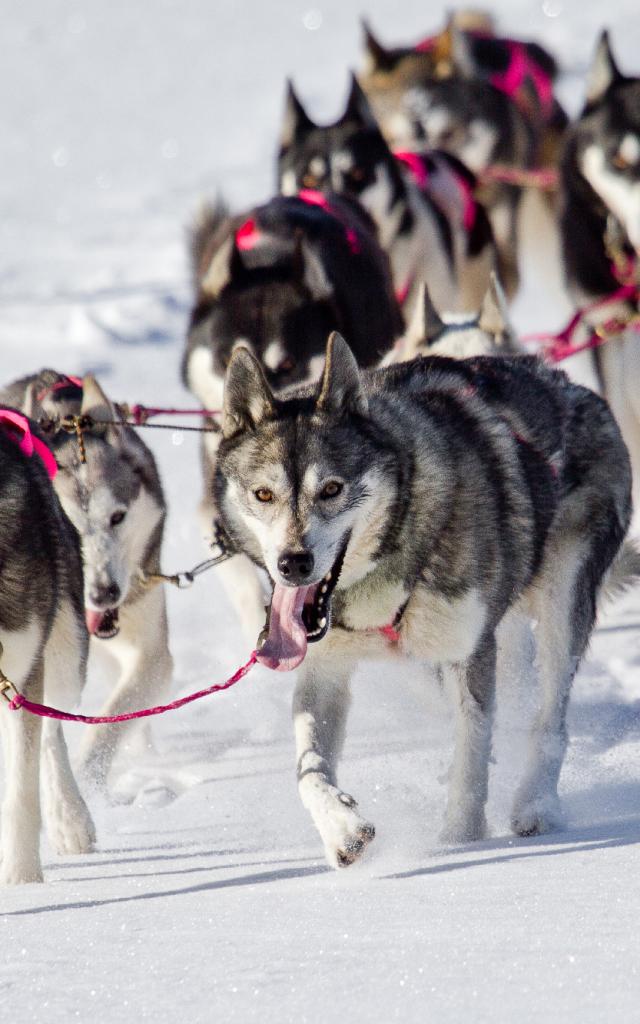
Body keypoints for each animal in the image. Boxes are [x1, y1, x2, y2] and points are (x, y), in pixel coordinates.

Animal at [0, 372, 173, 786]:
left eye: (118, 517)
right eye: (72, 527)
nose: (104, 593)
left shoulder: (151, 652)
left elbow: (112, 720)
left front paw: (90, 776)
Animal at [216, 331, 638, 868]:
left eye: (331, 488)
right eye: (263, 494)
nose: (293, 563)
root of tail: (573, 389)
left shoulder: (467, 651)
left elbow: (472, 756)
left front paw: (461, 843)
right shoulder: (325, 670)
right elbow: (308, 770)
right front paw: (341, 830)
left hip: (562, 603)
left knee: (550, 719)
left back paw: (536, 805)